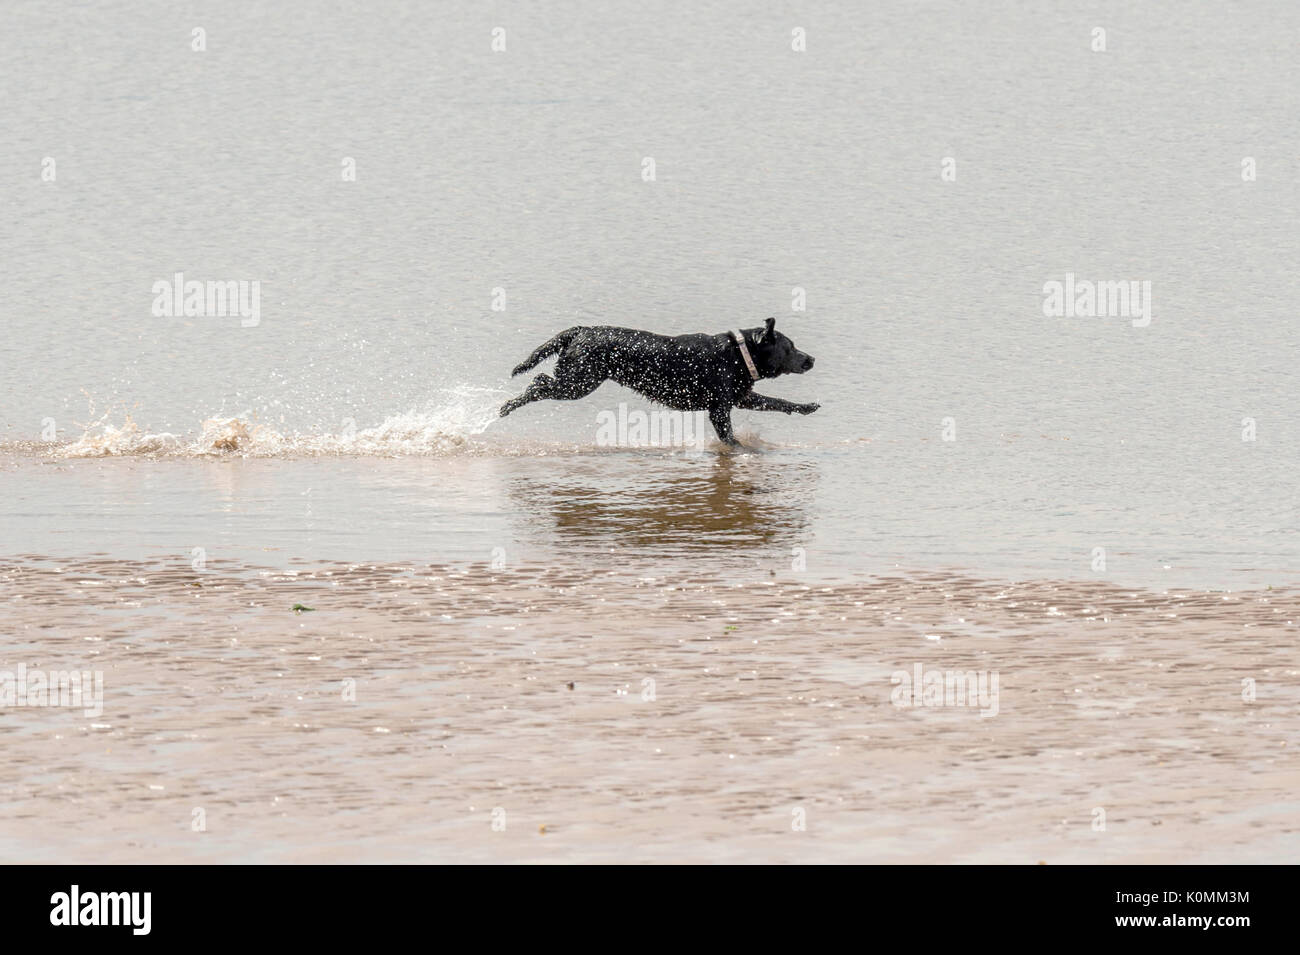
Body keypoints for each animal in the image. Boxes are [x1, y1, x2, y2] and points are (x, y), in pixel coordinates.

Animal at [499, 317, 816, 444]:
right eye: (790, 348)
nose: (811, 359)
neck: (739, 354)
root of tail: (581, 330)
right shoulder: (719, 410)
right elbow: (730, 438)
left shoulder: (742, 397)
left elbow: (778, 402)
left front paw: (806, 407)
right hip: (577, 384)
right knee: (538, 383)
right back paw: (507, 406)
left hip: (576, 381)